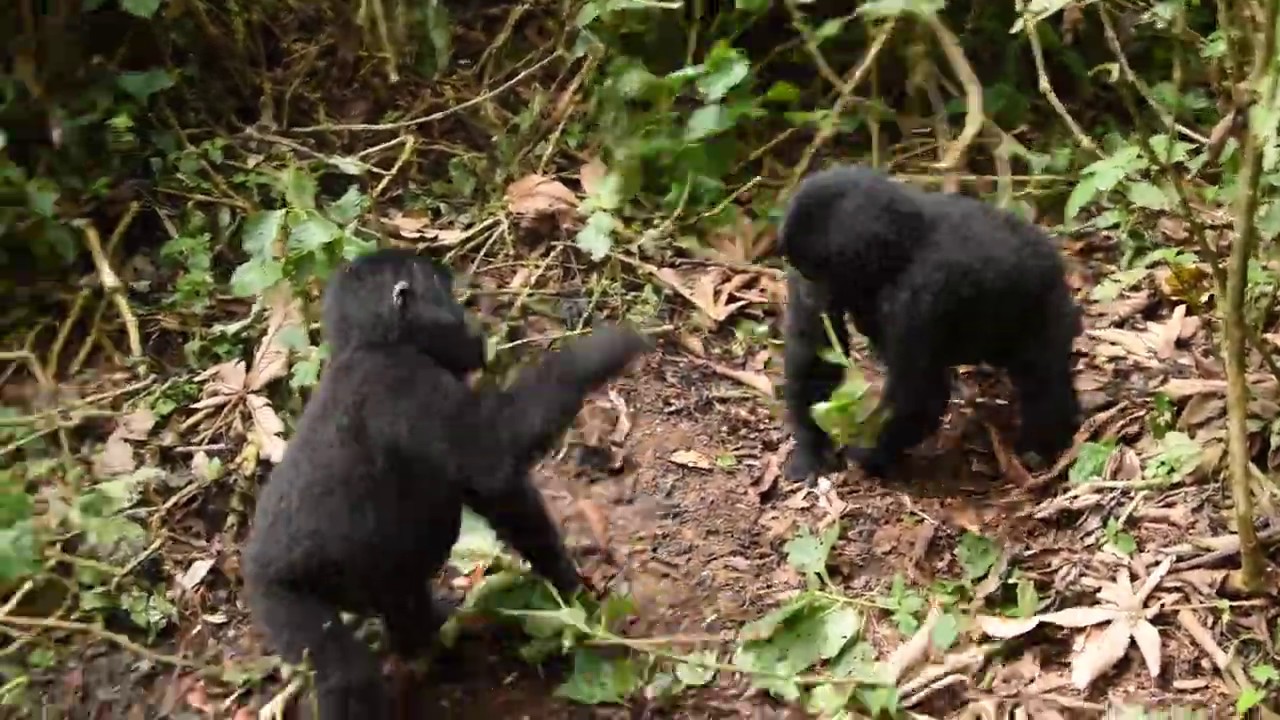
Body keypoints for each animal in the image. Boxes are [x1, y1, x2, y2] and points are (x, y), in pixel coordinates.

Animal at [240, 248, 653, 719]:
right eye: (449, 296)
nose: (474, 325)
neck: (374, 343)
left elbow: (500, 495)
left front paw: (566, 584)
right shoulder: (410, 382)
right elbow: (493, 456)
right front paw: (602, 349)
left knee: (402, 597)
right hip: (283, 600)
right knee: (342, 674)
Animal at [777, 165, 1083, 483]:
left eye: (821, 273)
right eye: (806, 273)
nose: (812, 293)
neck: (904, 242)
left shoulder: (921, 296)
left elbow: (918, 395)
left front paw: (864, 453)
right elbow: (815, 358)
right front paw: (811, 447)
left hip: (1049, 303)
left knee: (1042, 376)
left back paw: (1043, 444)